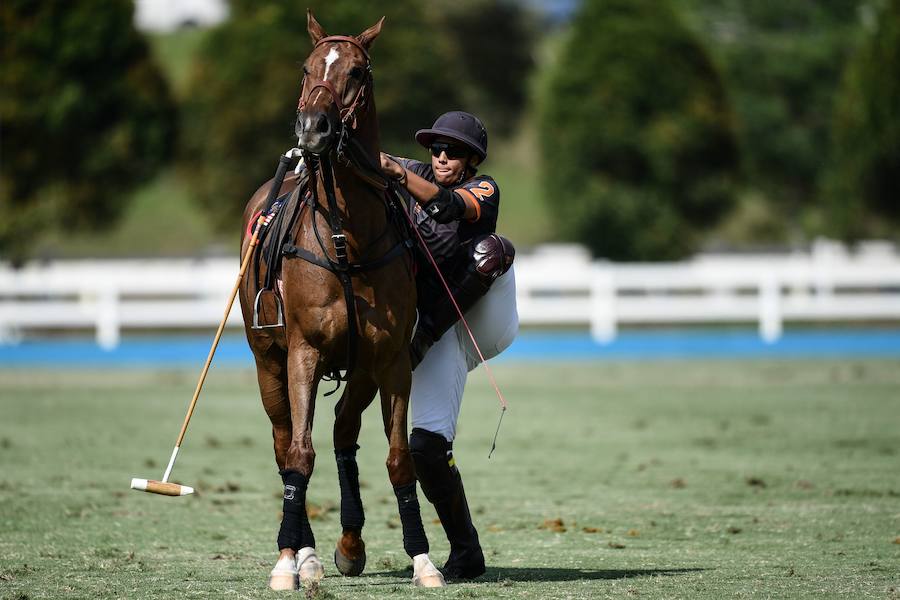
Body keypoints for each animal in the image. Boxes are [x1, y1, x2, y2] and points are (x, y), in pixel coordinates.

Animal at [237, 9, 444, 592]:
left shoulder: (391, 360)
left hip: (362, 368)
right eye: (307, 67)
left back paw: (348, 546)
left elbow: (399, 459)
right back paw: (301, 553)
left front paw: (423, 560)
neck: (347, 237)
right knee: (286, 442)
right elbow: (299, 455)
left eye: (357, 71)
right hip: (268, 361)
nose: (313, 129)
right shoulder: (303, 352)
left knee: (342, 430)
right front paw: (287, 563)